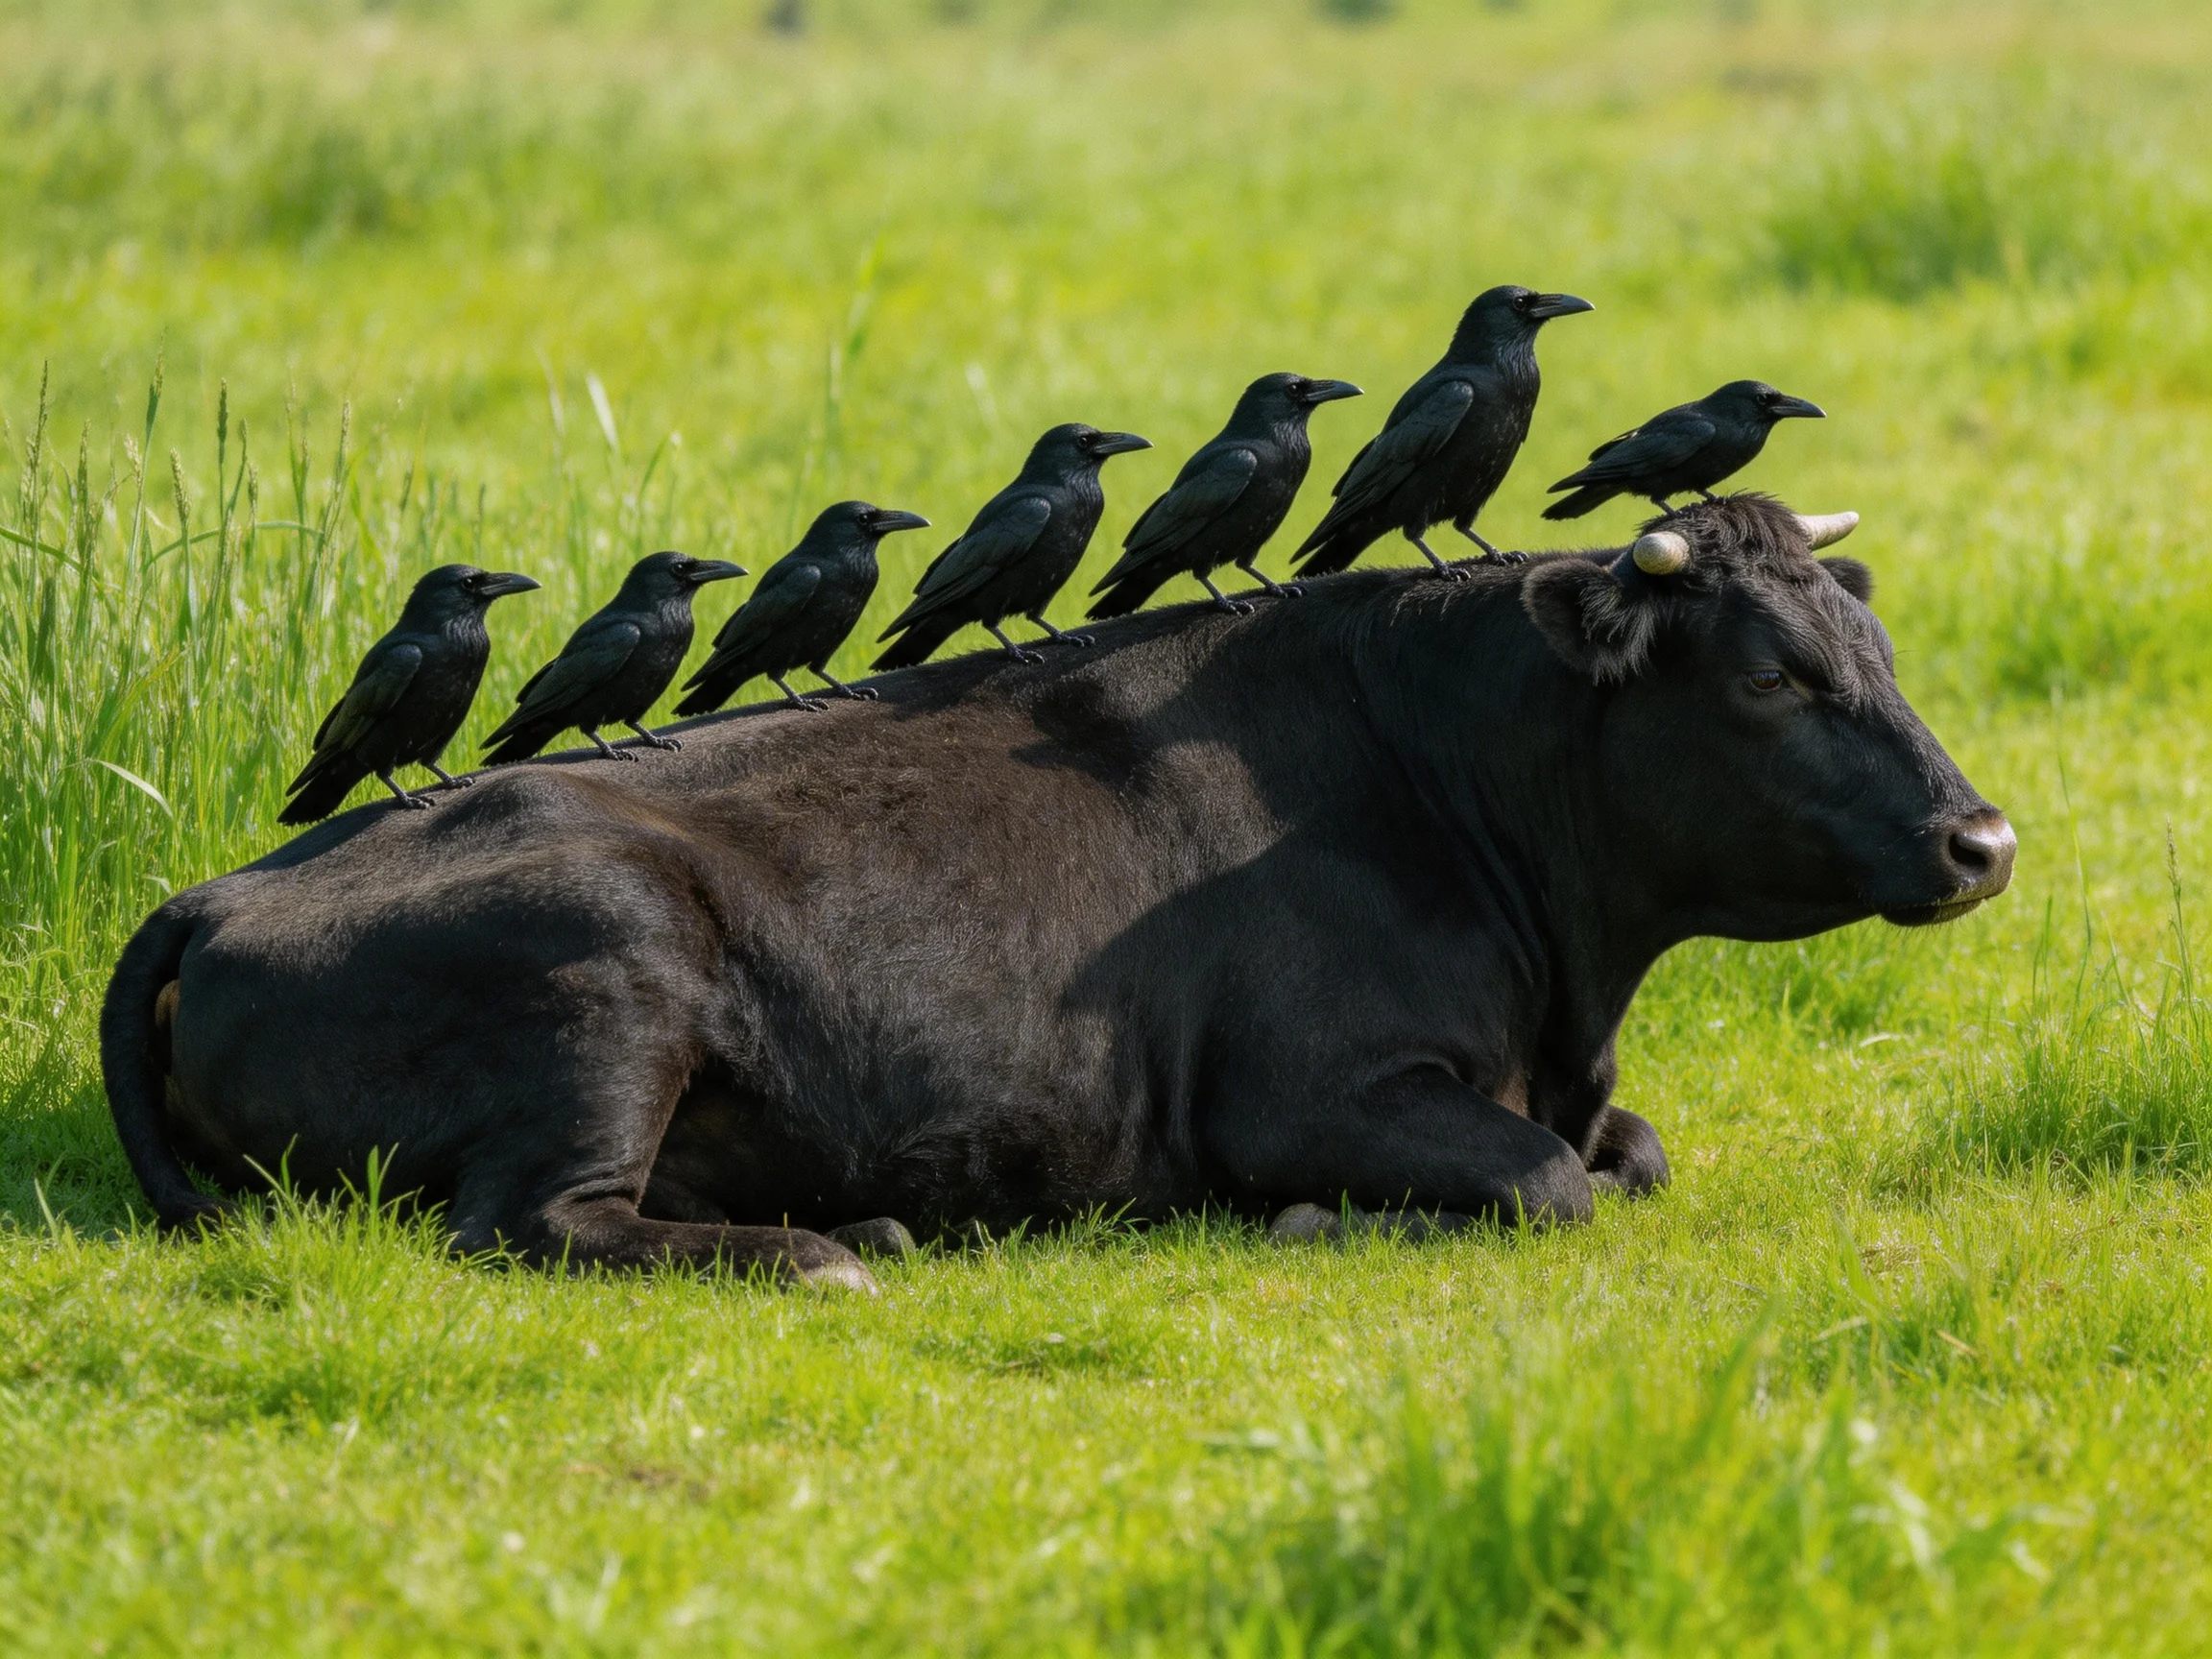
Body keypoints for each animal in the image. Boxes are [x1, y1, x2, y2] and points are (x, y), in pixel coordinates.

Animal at [103, 495, 2014, 1291]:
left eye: (1877, 650)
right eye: (1767, 677)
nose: (1980, 839)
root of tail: (220, 887)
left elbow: (1631, 1156)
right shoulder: (1305, 1088)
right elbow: (1551, 1185)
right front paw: (1312, 1223)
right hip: (607, 968)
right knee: (528, 1221)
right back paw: (825, 1253)